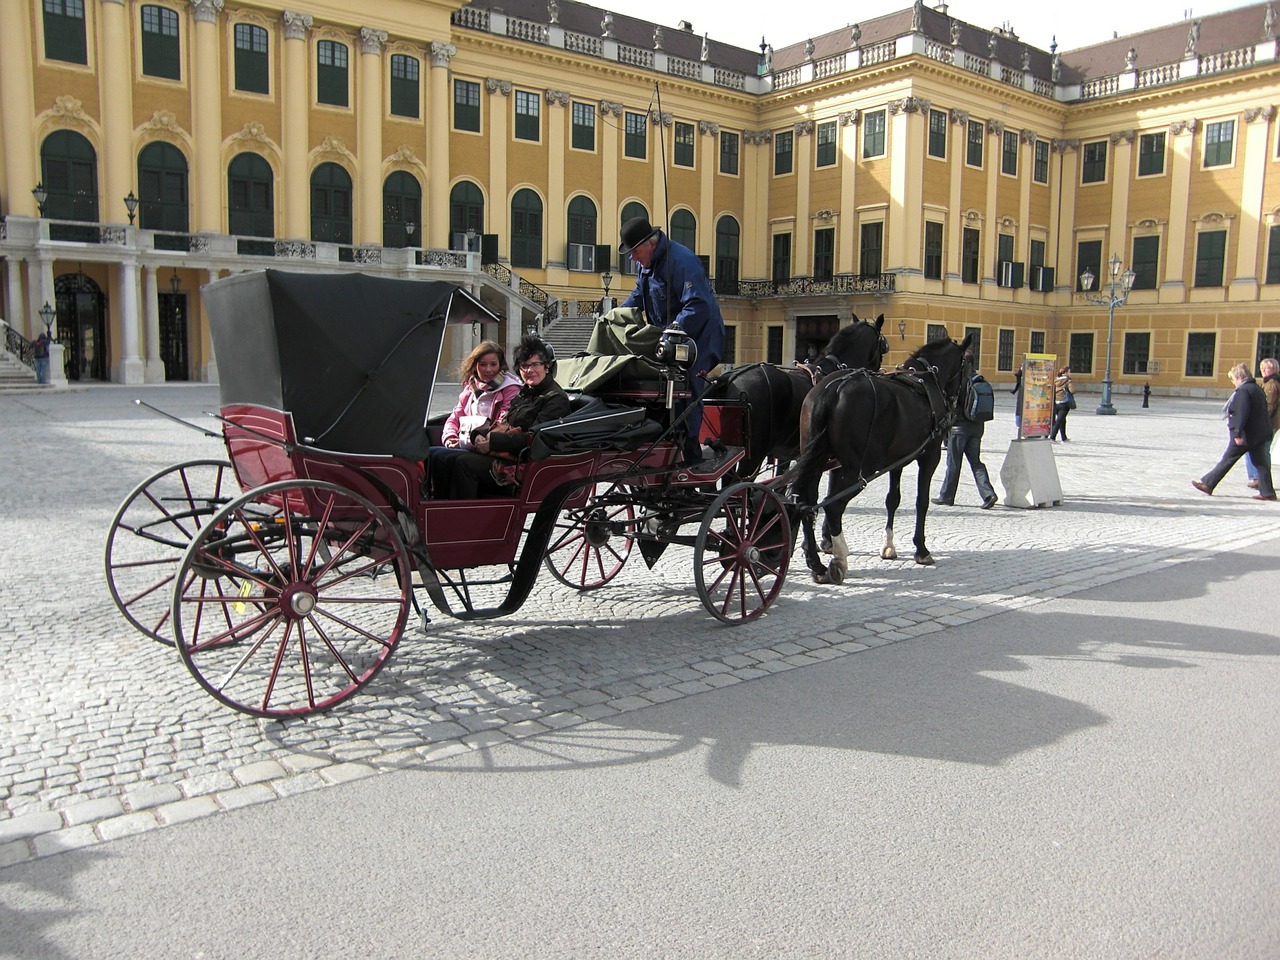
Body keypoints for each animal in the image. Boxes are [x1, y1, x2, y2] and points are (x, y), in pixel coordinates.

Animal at [788, 330, 967, 586]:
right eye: (966, 365)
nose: (958, 403)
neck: (924, 383)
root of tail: (832, 390)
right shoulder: (929, 456)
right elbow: (921, 501)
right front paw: (921, 549)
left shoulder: (898, 461)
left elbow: (892, 500)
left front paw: (889, 546)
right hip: (857, 469)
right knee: (832, 506)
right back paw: (839, 559)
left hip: (815, 461)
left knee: (805, 503)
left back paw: (816, 564)